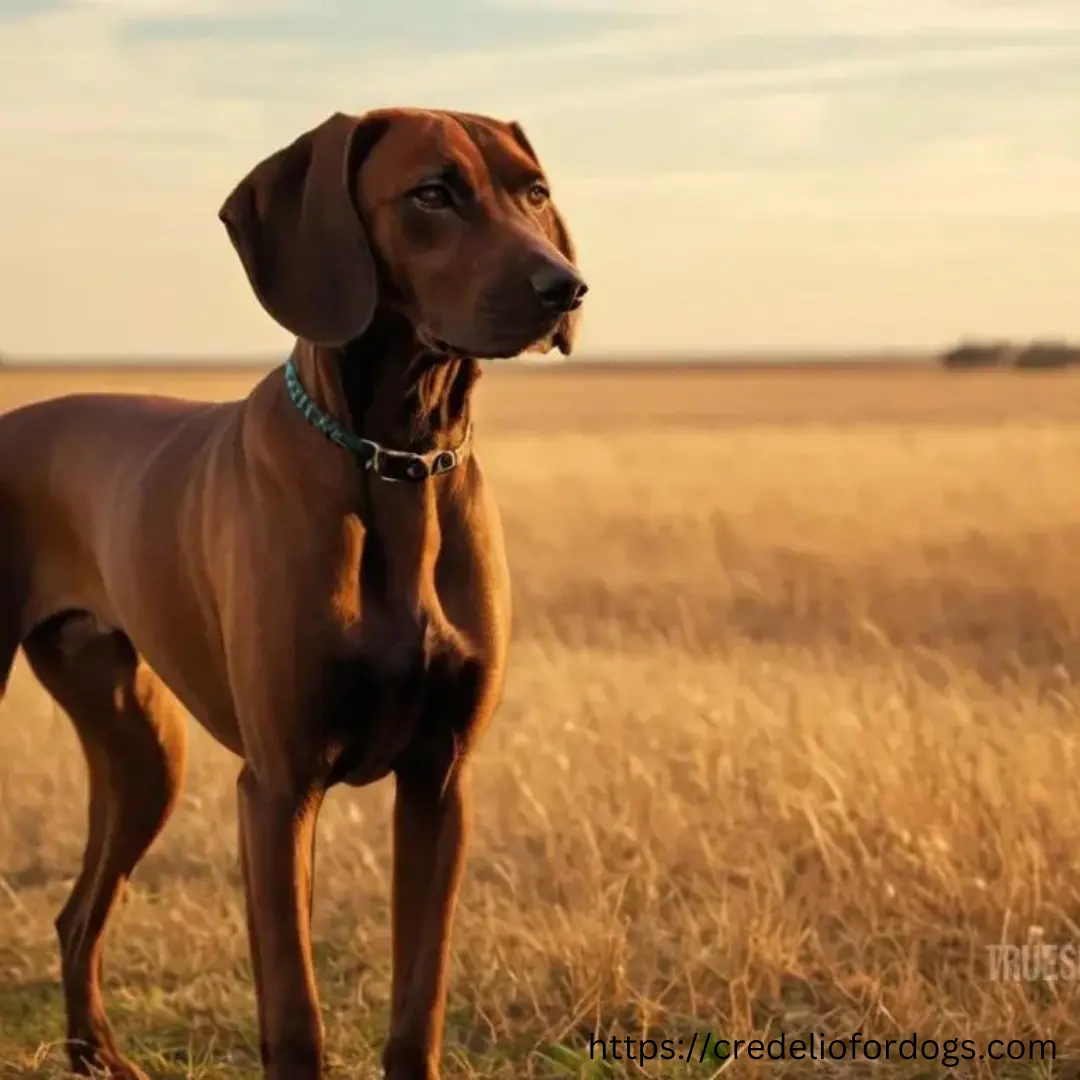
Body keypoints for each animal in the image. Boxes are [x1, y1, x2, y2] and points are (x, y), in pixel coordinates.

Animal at [0, 109, 587, 1080]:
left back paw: (98, 1057)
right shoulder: (278, 791)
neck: (396, 459)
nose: (565, 289)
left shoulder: (440, 784)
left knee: (81, 911)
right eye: (432, 193)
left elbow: (418, 1005)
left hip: (143, 749)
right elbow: (295, 1016)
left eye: (534, 190)